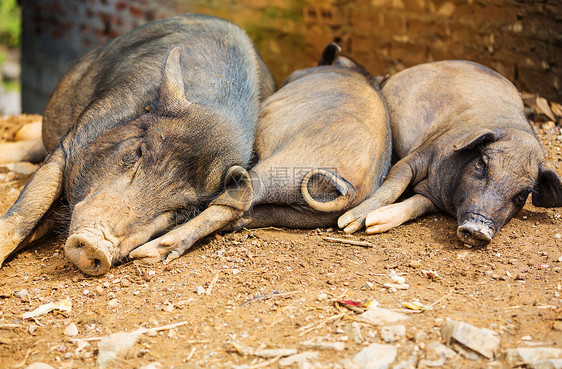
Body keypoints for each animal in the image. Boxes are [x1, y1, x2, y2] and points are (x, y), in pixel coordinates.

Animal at [130, 43, 390, 262]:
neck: (354, 71)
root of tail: (351, 193)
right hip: (297, 213)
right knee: (244, 215)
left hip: (279, 169)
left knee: (234, 202)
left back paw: (145, 252)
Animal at [336, 59, 560, 244]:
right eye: (482, 164)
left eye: (522, 194)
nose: (478, 230)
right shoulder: (423, 152)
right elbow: (393, 186)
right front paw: (346, 225)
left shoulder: (431, 197)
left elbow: (417, 205)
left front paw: (373, 224)